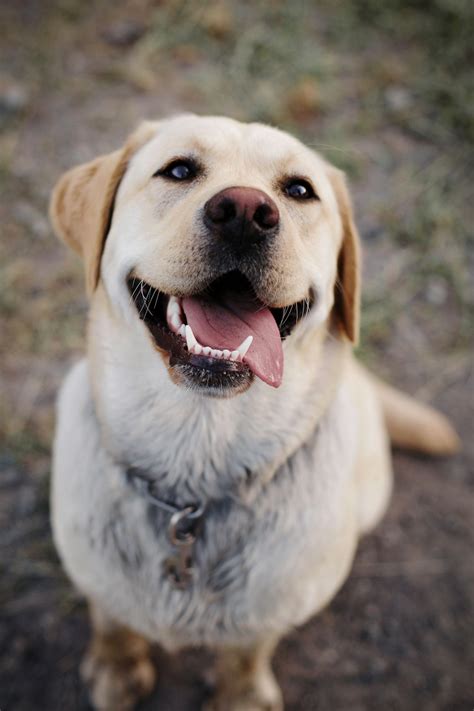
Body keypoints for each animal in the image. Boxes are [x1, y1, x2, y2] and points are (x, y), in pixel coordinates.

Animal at [49, 114, 460, 708]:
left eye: (299, 191)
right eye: (178, 170)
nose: (244, 211)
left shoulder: (271, 608)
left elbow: (247, 651)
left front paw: (240, 694)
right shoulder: (92, 573)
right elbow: (112, 617)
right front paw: (116, 666)